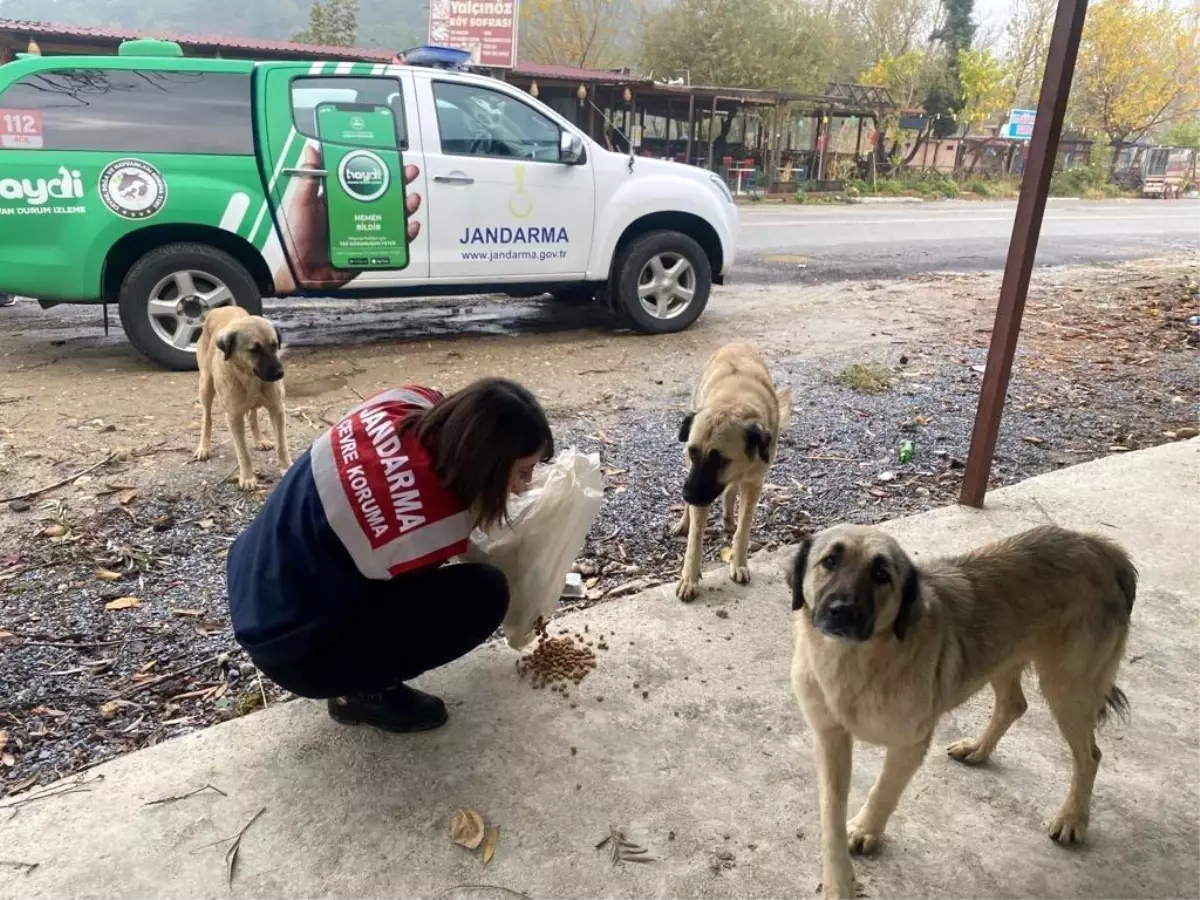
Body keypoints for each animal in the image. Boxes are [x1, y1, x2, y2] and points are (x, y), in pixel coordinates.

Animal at [195, 309, 294, 494]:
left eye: (274, 345)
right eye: (254, 350)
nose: (280, 373)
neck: (250, 378)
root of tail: (218, 309)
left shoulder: (277, 409)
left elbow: (282, 444)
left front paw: (286, 467)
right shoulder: (233, 417)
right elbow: (243, 452)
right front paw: (247, 478)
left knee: (252, 415)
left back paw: (259, 440)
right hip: (205, 387)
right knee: (207, 418)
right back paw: (204, 447)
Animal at [672, 345, 792, 607]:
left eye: (720, 460)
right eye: (693, 452)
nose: (687, 495)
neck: (733, 400)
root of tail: (737, 343)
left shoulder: (754, 482)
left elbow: (743, 530)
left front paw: (738, 562)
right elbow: (695, 538)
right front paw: (689, 577)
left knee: (730, 491)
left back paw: (727, 517)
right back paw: (685, 521)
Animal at [787, 525, 1132, 897]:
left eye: (881, 575)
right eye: (830, 561)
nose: (842, 610)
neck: (854, 663)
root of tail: (1099, 546)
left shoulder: (909, 745)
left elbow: (883, 791)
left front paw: (866, 830)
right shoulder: (830, 738)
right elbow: (831, 816)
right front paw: (839, 881)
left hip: (1068, 689)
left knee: (1090, 756)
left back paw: (1072, 818)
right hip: (1002, 656)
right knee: (1014, 705)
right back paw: (979, 749)